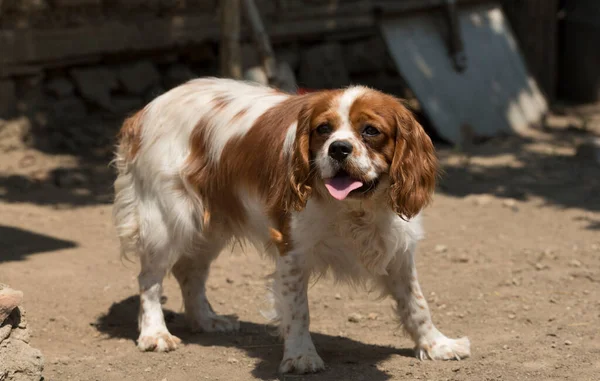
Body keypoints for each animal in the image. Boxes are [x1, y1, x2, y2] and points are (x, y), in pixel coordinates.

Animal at [111, 78, 468, 374]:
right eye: (323, 129)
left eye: (370, 130)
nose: (338, 148)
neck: (356, 208)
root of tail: (146, 109)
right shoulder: (292, 252)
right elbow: (298, 310)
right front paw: (300, 357)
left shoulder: (398, 251)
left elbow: (416, 302)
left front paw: (436, 344)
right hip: (167, 221)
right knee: (150, 279)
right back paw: (155, 333)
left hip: (209, 226)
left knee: (190, 272)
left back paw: (206, 320)